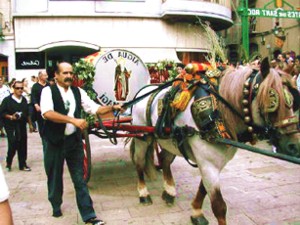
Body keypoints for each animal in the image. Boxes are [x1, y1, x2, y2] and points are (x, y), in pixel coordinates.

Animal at [129, 58, 300, 225]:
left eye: (293, 101)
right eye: (271, 102)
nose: (294, 146)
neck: (218, 112)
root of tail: (142, 92)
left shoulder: (214, 163)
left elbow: (203, 188)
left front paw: (196, 211)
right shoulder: (208, 163)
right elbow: (219, 206)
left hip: (170, 139)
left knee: (165, 159)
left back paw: (169, 191)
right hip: (142, 137)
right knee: (139, 162)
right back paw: (143, 193)